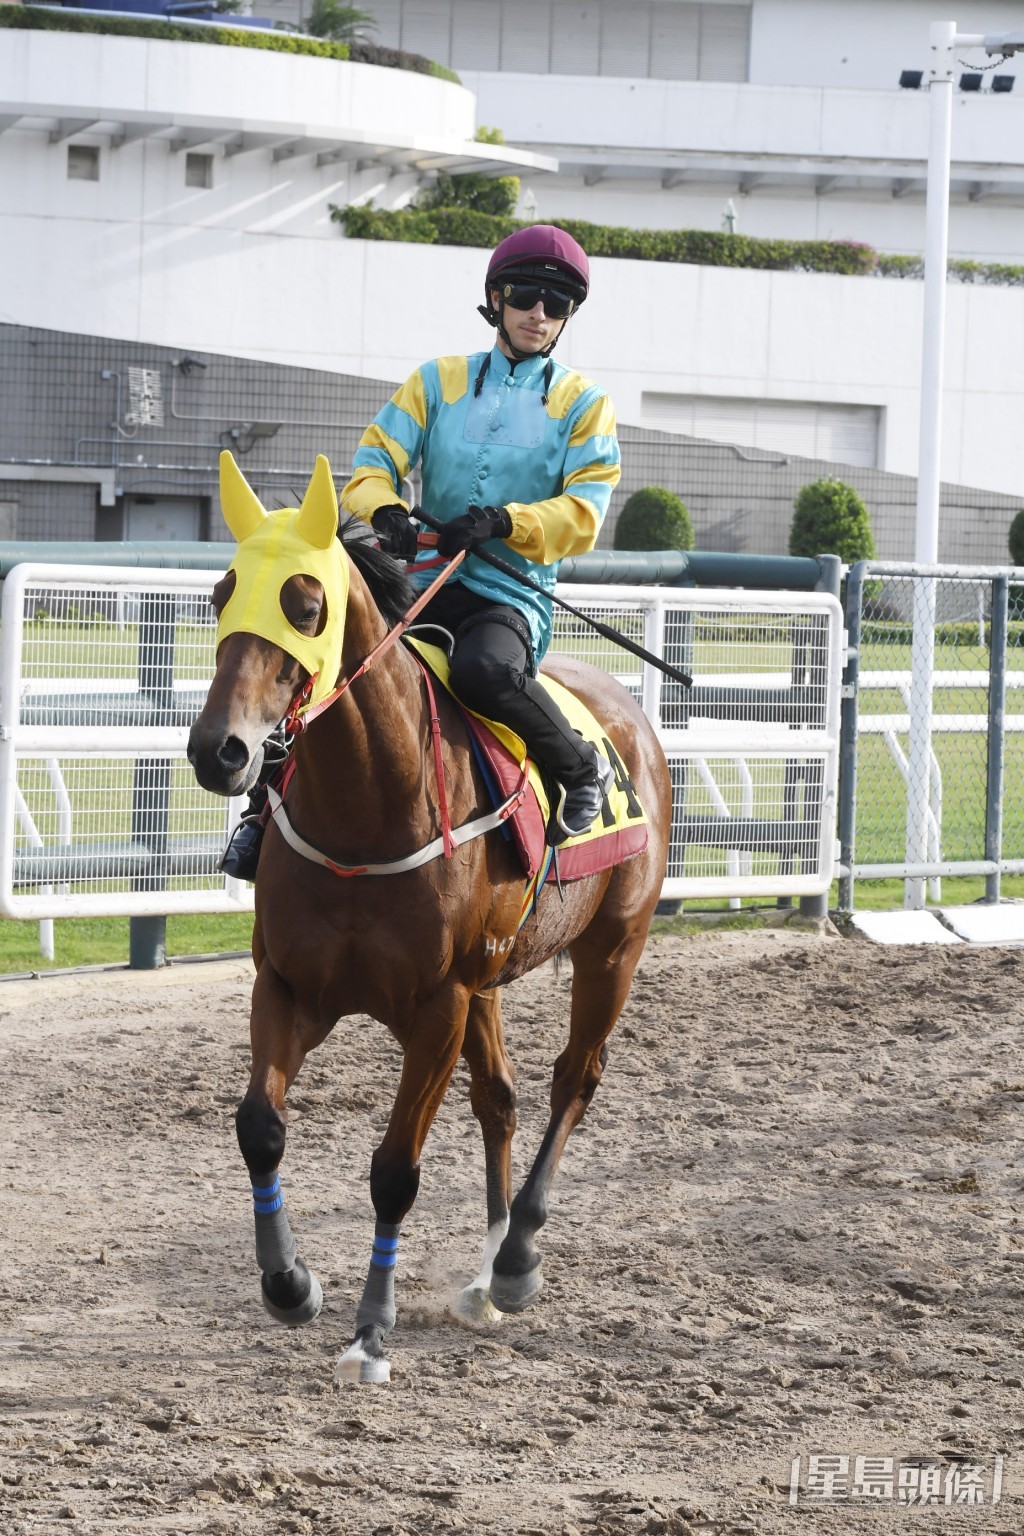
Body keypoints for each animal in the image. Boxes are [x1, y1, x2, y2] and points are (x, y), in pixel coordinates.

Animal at [189, 451, 675, 1382]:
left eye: (306, 604)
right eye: (223, 592)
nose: (218, 751)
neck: (368, 811)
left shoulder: (436, 1006)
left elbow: (395, 1171)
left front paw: (371, 1330)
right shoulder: (289, 987)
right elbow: (259, 1127)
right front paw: (290, 1283)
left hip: (612, 951)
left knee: (574, 1078)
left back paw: (516, 1258)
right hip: (493, 978)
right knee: (502, 1097)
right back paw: (485, 1273)